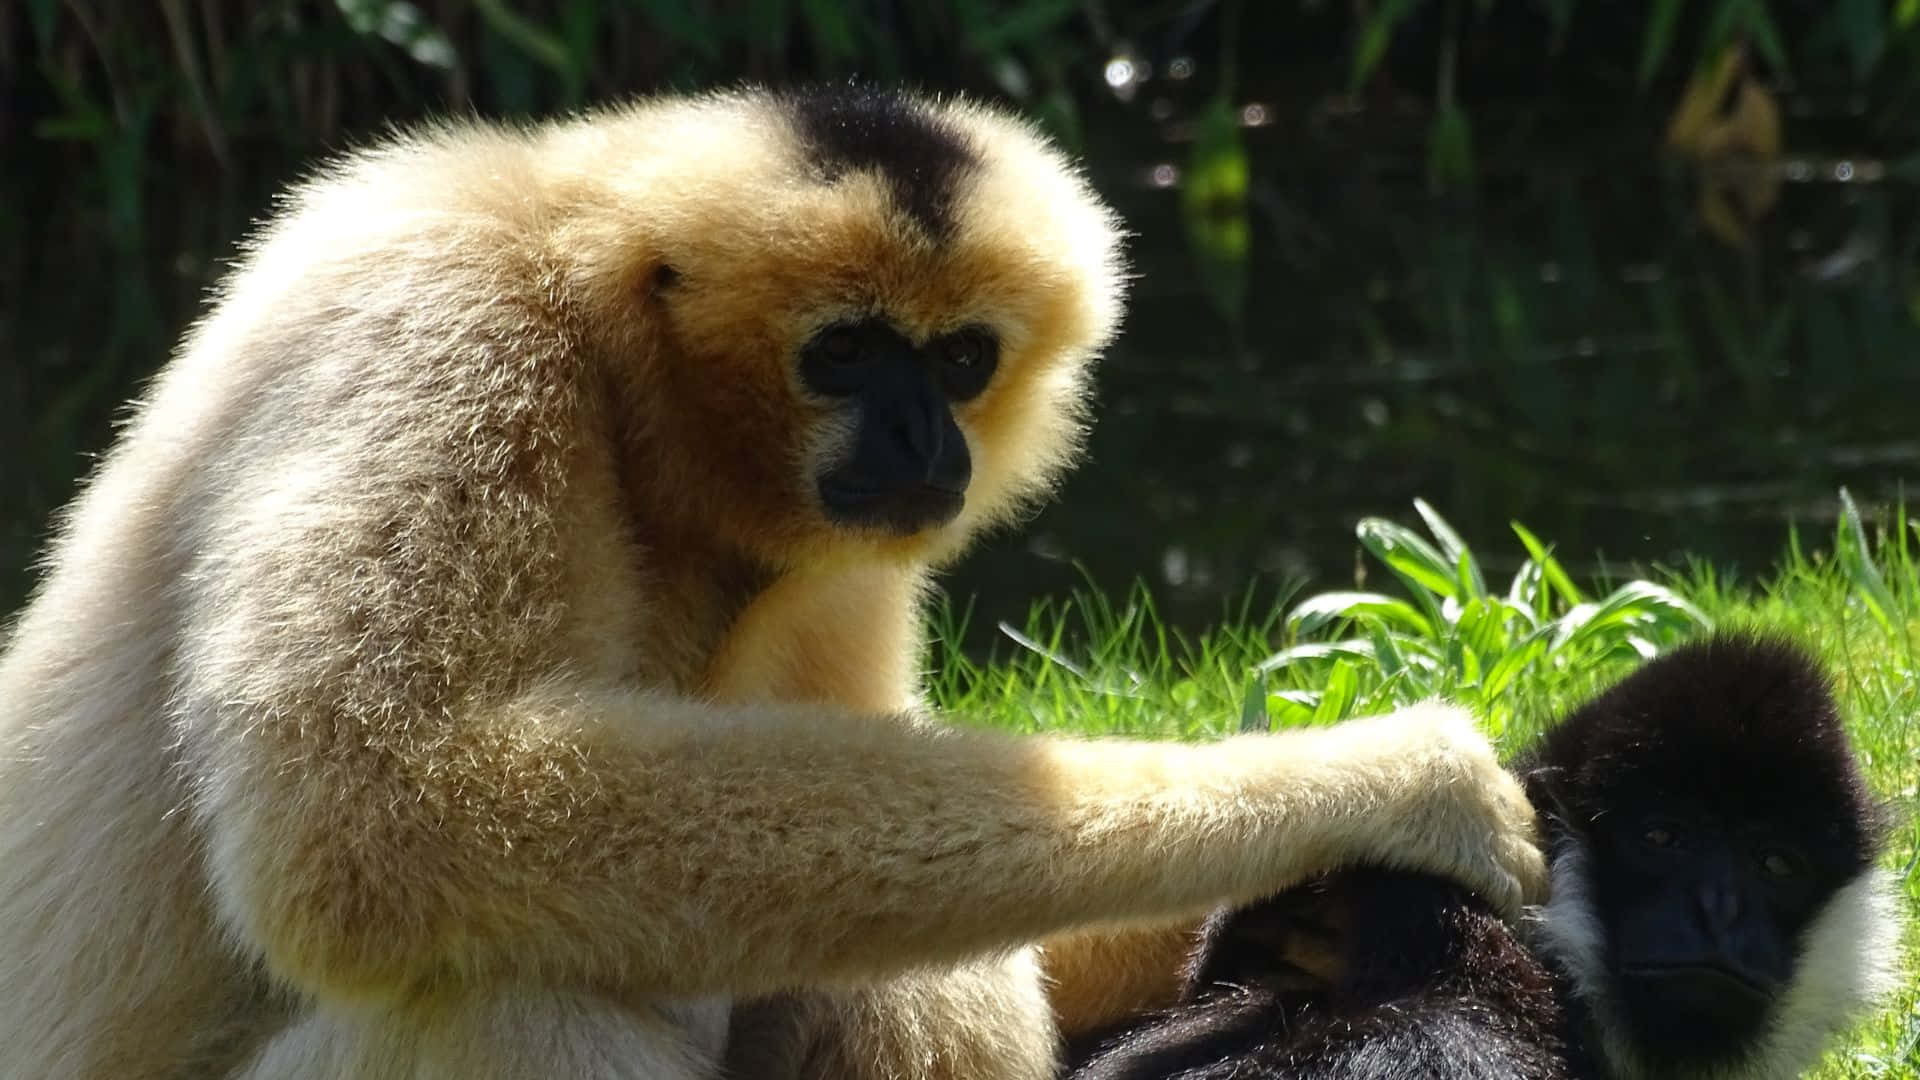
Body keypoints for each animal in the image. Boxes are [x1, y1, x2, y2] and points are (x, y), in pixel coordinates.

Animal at [0, 84, 1547, 1080]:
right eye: (845, 354)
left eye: (962, 358)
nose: (925, 439)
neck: (614, 378)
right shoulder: (443, 318)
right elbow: (376, 800)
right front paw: (1379, 782)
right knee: (497, 982)